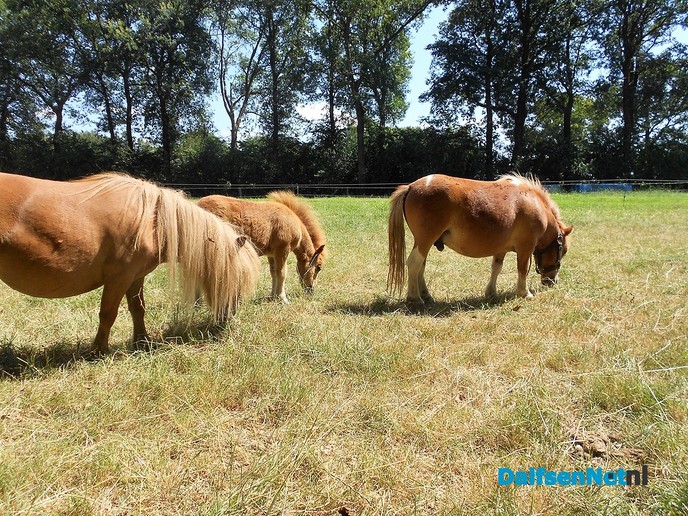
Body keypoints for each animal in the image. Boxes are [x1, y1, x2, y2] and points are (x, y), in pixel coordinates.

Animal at [0, 172, 261, 354]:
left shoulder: (136, 276)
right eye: (236, 276)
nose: (228, 316)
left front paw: (142, 342)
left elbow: (138, 309)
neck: (152, 220)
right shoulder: (119, 278)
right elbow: (108, 313)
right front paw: (98, 351)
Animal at [198, 191, 327, 304]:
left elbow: (274, 273)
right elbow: (282, 273)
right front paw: (283, 298)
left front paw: (273, 296)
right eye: (319, 267)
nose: (311, 290)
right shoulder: (282, 250)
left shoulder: (272, 254)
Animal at [387, 173, 573, 306]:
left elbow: (496, 268)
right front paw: (524, 293)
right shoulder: (525, 247)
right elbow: (522, 269)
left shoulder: (501, 249)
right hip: (424, 241)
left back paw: (426, 296)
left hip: (423, 243)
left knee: (420, 267)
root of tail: (411, 187)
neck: (533, 203)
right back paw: (415, 298)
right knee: (414, 263)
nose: (552, 281)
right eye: (562, 251)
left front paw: (491, 292)